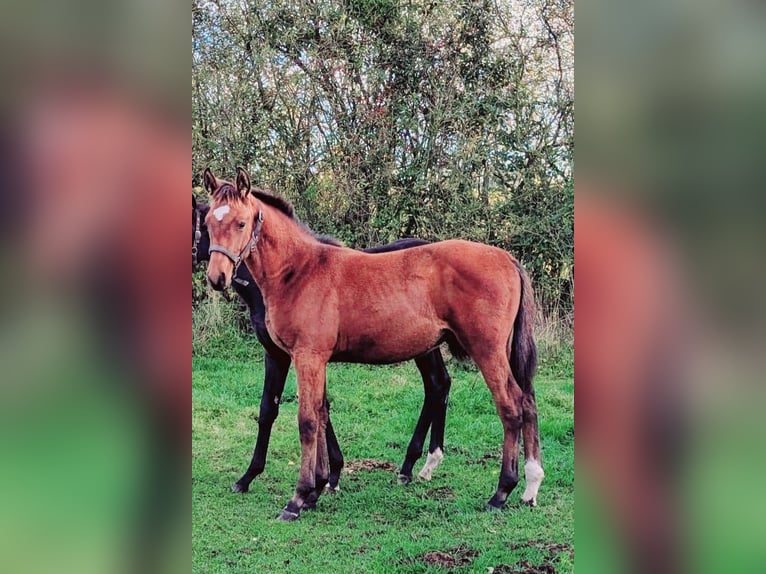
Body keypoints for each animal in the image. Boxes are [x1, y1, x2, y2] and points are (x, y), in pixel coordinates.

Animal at [193, 195, 453, 494]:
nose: (216, 278)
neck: (287, 275)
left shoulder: (282, 355)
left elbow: (272, 410)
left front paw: (250, 477)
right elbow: (320, 408)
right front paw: (330, 474)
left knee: (436, 385)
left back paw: (416, 463)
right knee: (439, 384)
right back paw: (418, 464)